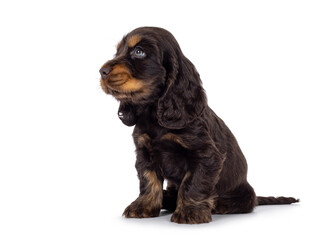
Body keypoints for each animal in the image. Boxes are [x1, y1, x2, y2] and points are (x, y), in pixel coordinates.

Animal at [99, 27, 298, 224]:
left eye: (139, 52)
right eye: (117, 51)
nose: (102, 71)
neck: (155, 115)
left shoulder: (205, 154)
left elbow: (193, 182)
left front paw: (190, 211)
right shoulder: (144, 152)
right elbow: (148, 180)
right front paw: (142, 206)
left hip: (245, 193)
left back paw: (219, 204)